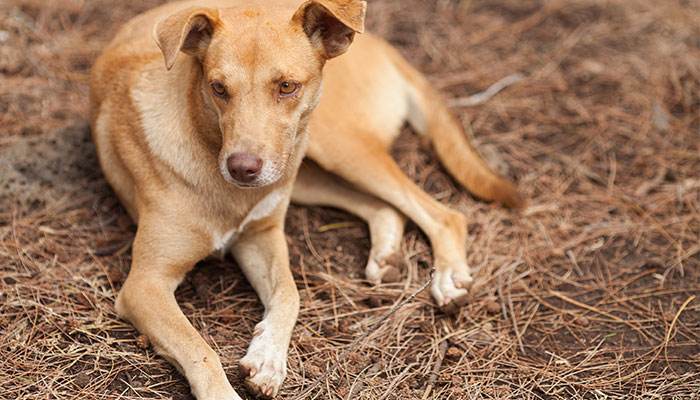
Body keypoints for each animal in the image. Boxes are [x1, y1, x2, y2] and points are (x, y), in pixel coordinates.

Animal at [89, 0, 520, 400]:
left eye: (286, 86)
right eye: (218, 88)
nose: (242, 168)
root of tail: (380, 44)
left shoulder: (261, 236)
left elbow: (289, 294)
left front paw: (267, 357)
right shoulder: (146, 284)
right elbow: (200, 347)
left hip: (333, 145)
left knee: (444, 213)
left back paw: (448, 277)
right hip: (309, 168)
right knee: (385, 208)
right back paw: (386, 256)